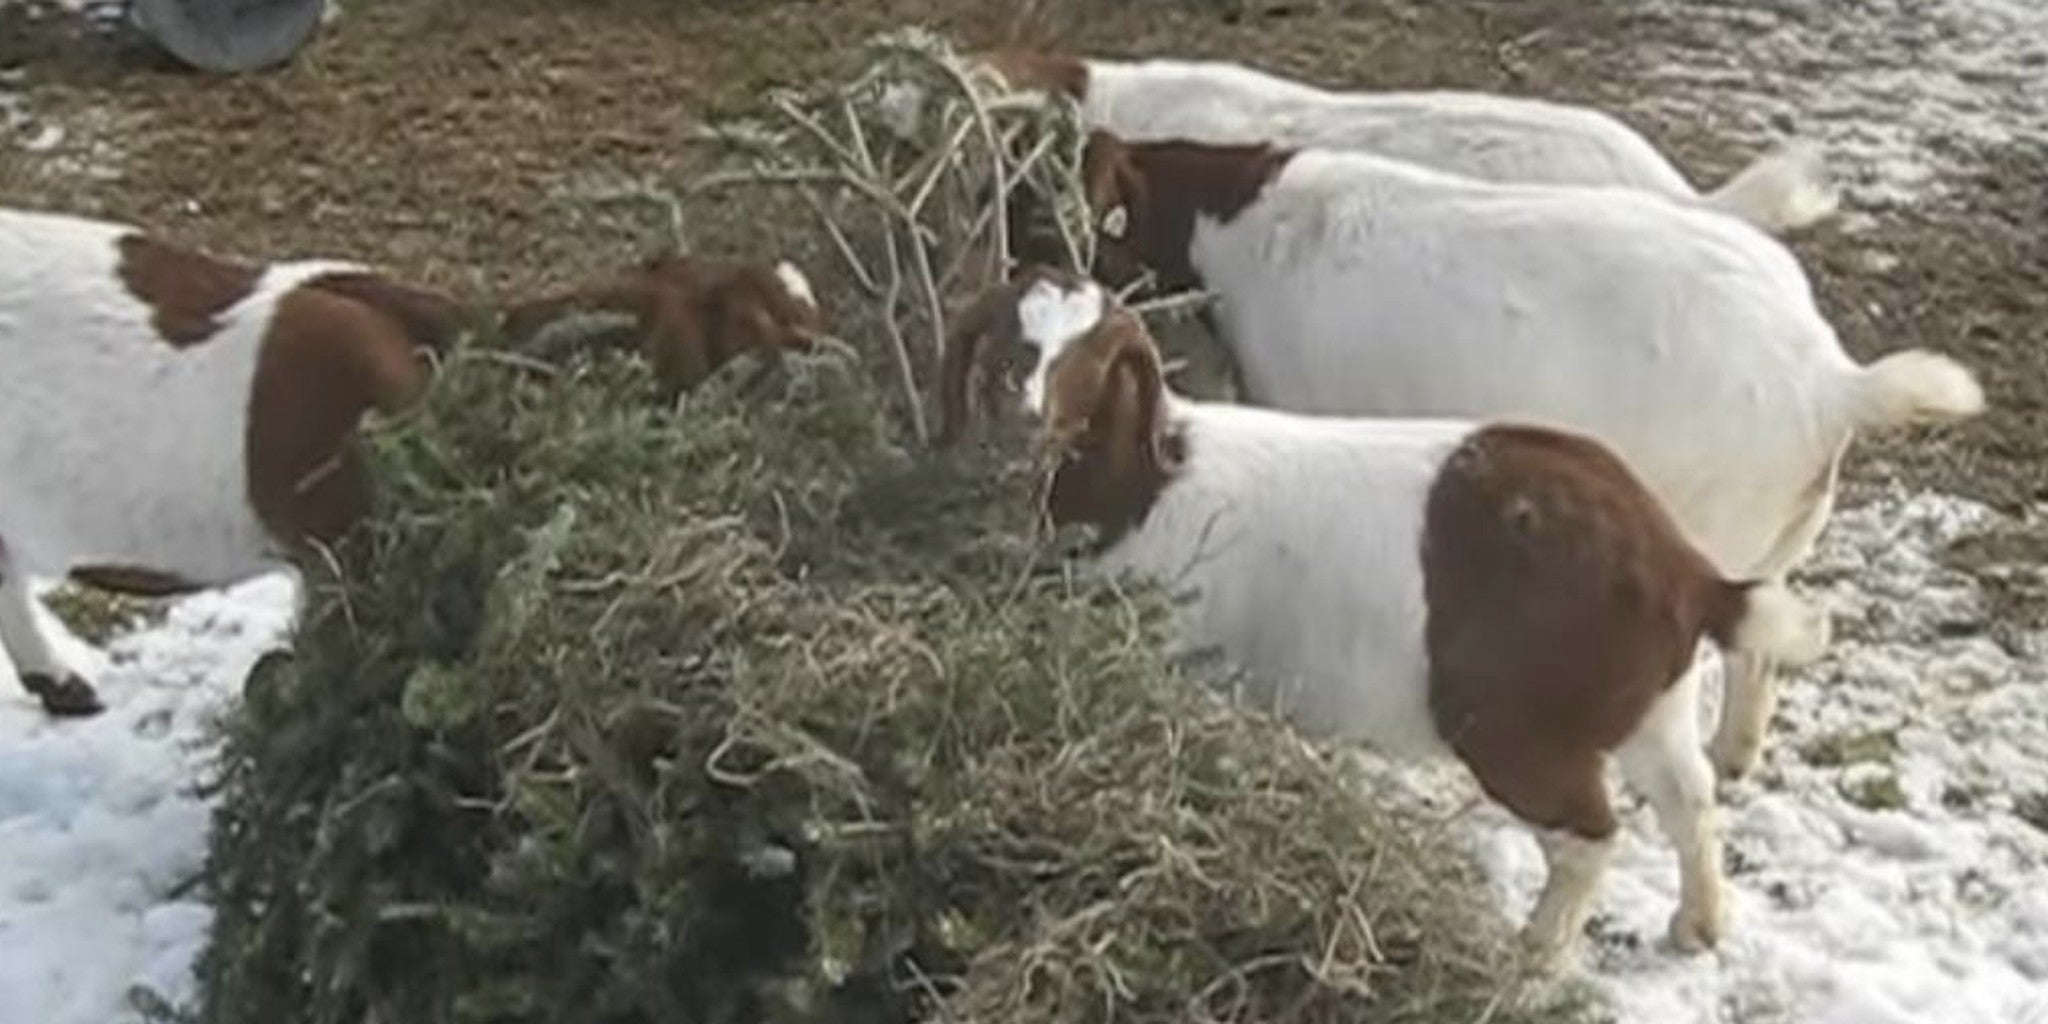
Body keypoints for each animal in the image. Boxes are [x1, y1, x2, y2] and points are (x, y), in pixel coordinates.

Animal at [938, 268, 1832, 971]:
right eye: (1010, 333)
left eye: (1090, 359)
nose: (1022, 407)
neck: (1144, 485)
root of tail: (1682, 570)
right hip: (1648, 702)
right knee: (1690, 795)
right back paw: (1697, 926)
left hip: (1519, 727)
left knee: (1589, 836)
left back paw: (1531, 959)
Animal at [1080, 133, 1986, 780]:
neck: (1239, 231)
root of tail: (1833, 380)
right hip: (1779, 531)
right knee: (1757, 650)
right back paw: (1734, 760)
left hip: (1711, 519)